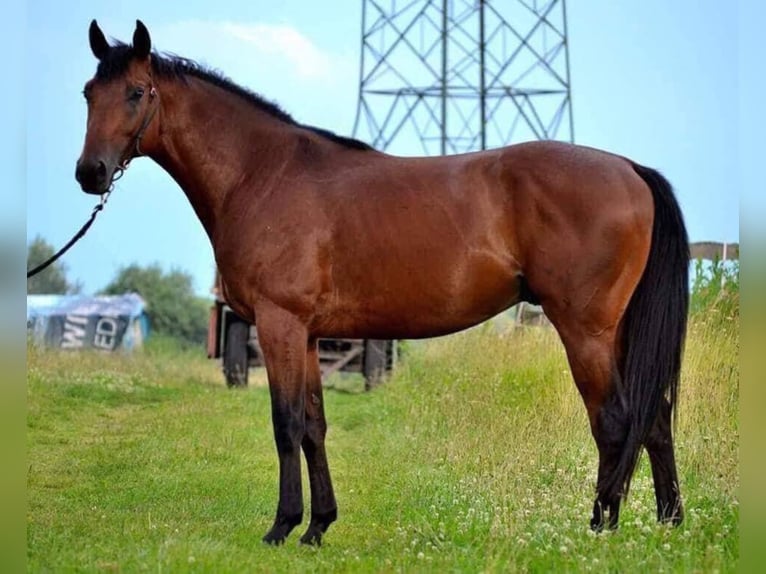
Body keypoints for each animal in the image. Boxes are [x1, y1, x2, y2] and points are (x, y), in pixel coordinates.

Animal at [76, 20, 688, 548]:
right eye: (88, 93)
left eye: (136, 92)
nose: (90, 173)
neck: (262, 174)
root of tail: (630, 169)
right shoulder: (307, 335)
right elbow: (314, 426)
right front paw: (317, 527)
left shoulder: (279, 324)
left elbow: (285, 423)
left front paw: (281, 527)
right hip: (619, 331)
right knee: (655, 418)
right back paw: (668, 524)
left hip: (585, 330)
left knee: (615, 421)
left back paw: (600, 529)